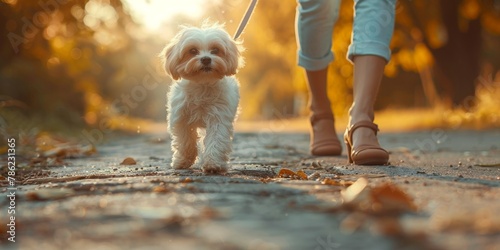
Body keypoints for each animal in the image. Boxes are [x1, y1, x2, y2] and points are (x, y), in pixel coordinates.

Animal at [160, 23, 244, 174]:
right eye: (193, 50)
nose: (206, 59)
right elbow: (185, 141)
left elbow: (216, 139)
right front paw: (183, 161)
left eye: (215, 50)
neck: (202, 84)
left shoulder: (218, 117)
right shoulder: (181, 118)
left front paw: (213, 164)